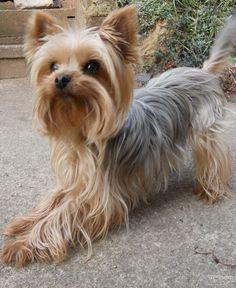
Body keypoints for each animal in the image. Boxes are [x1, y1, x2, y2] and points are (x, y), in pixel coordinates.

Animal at [1, 5, 236, 266]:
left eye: (92, 67)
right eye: (52, 66)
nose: (60, 78)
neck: (82, 129)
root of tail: (203, 72)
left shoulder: (97, 196)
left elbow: (60, 215)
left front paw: (22, 245)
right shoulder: (76, 177)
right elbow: (52, 201)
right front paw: (24, 222)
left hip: (205, 132)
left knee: (214, 157)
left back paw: (210, 190)